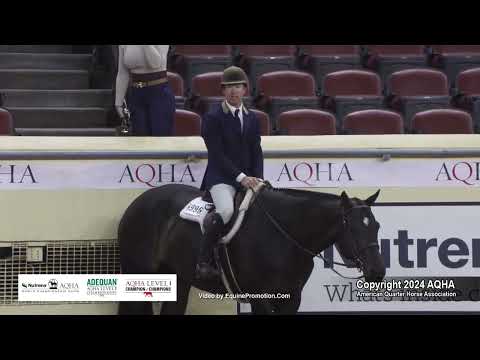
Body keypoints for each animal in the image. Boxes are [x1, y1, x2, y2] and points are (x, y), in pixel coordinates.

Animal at [117, 184, 386, 314]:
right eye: (353, 229)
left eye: (376, 226)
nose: (377, 272)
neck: (284, 236)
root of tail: (137, 203)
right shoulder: (260, 297)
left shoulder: (291, 298)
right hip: (137, 272)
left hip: (178, 278)